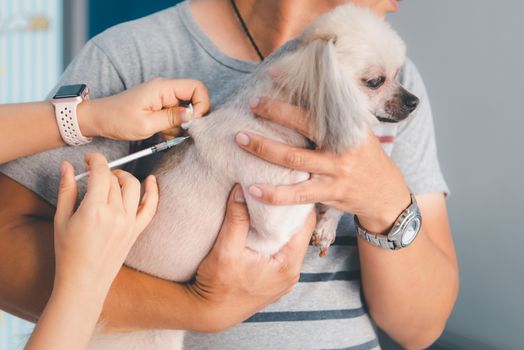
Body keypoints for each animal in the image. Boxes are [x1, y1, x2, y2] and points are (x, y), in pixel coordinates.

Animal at [89, 4, 418, 348]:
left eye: (398, 76)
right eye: (375, 81)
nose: (414, 101)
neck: (271, 126)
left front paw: (327, 225)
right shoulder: (275, 219)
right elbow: (310, 193)